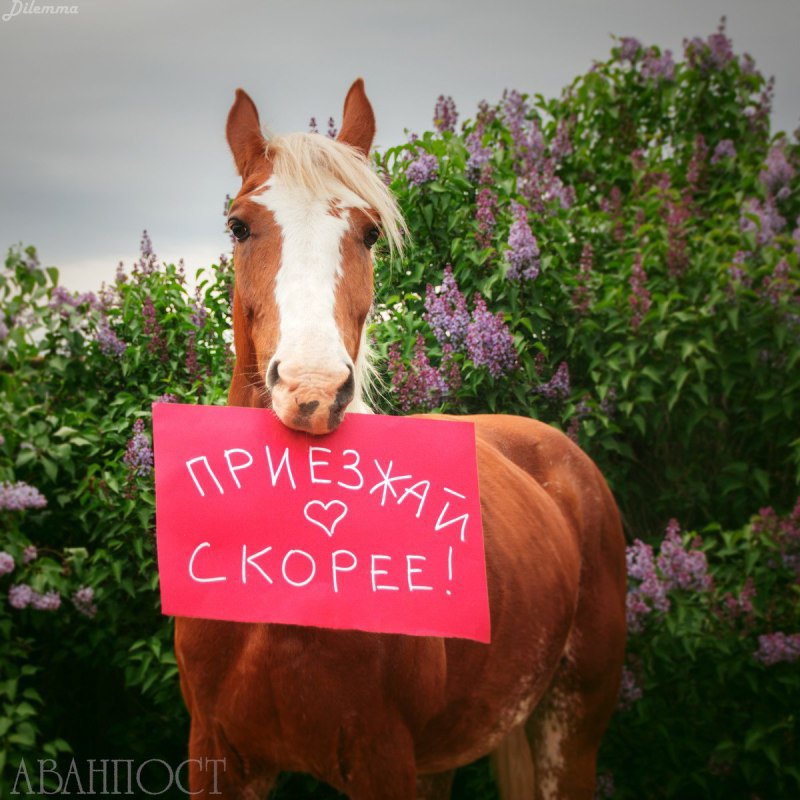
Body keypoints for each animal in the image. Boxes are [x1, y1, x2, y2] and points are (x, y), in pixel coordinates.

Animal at [173, 76, 624, 800]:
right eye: (239, 226)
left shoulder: (383, 760)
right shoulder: (216, 756)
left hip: (569, 728)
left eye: (369, 233)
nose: (311, 389)